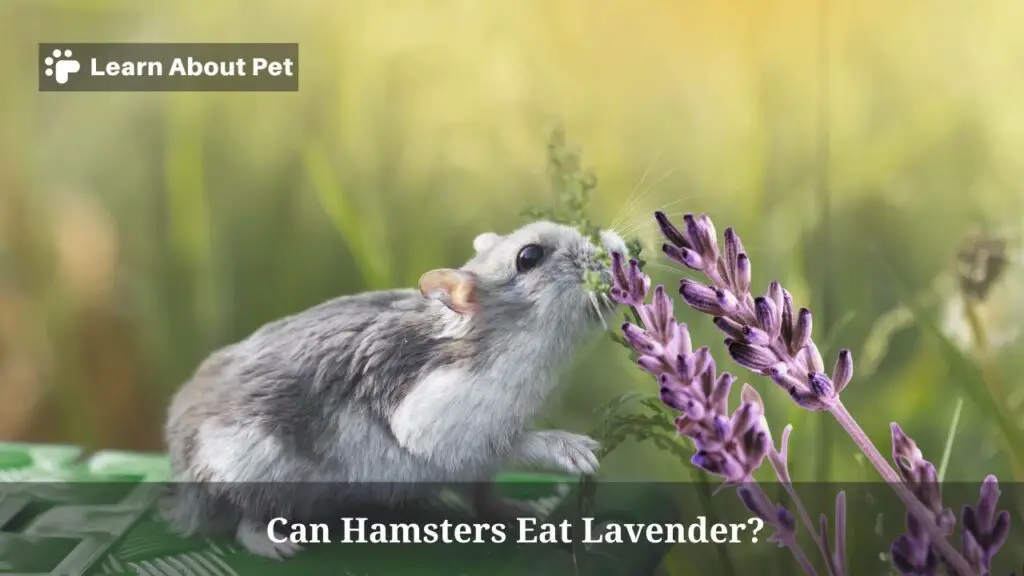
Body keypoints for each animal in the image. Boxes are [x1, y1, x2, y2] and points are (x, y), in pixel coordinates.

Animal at [160, 220, 630, 559]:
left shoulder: (474, 464)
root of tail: (182, 463)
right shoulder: (443, 422)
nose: (623, 251)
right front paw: (581, 452)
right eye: (529, 256)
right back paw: (280, 546)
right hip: (257, 469)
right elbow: (514, 442)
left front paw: (524, 512)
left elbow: (485, 493)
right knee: (245, 518)